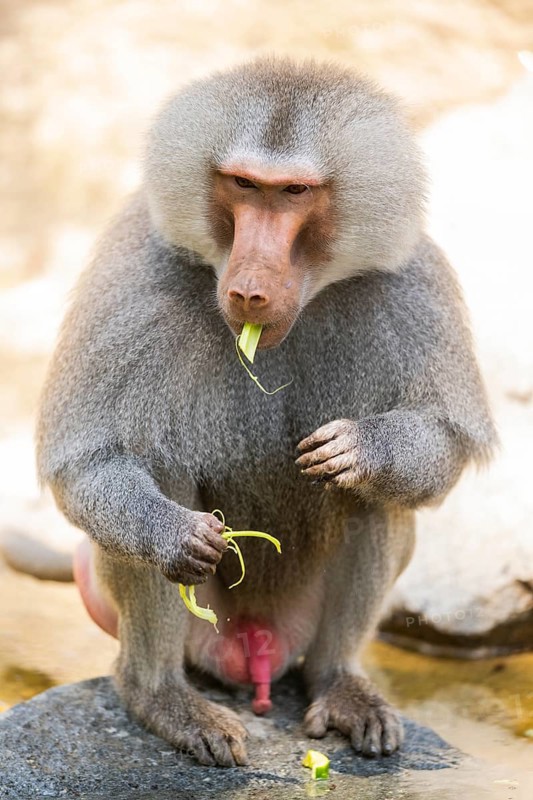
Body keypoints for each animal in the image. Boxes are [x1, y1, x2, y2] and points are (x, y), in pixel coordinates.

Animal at [36, 57, 496, 768]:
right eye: (244, 185)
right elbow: (91, 462)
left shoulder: (413, 284)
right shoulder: (134, 272)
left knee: (378, 503)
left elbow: (440, 442)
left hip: (299, 628)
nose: (250, 290)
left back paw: (340, 687)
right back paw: (164, 700)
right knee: (156, 470)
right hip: (204, 635)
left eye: (295, 192)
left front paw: (363, 449)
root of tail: (256, 652)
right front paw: (174, 534)